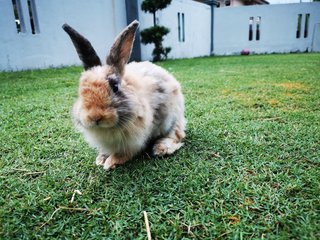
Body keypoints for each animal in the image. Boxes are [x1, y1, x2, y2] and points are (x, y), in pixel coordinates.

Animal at [62, 21, 186, 171]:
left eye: (115, 87)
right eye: (81, 91)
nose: (95, 117)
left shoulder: (134, 140)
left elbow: (125, 153)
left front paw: (110, 162)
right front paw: (101, 159)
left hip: (170, 120)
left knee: (176, 135)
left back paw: (161, 148)